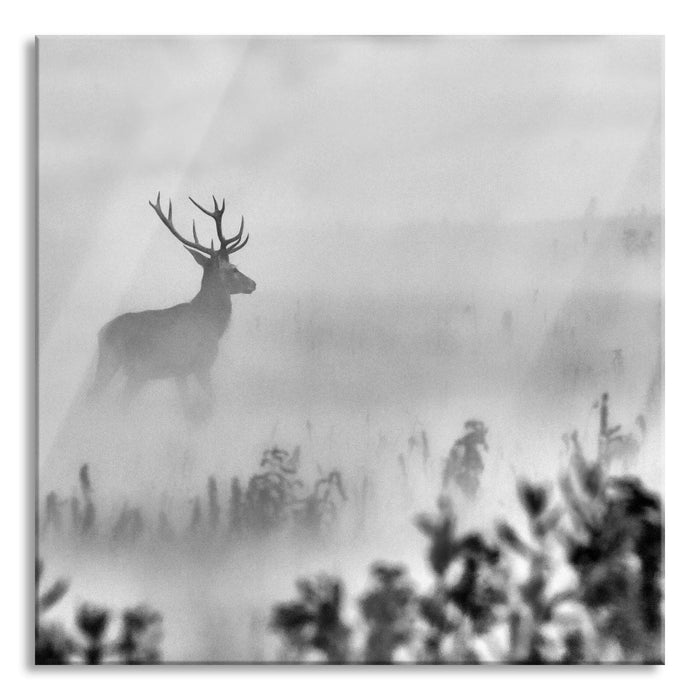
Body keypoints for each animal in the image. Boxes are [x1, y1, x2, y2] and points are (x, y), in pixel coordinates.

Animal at [90, 193, 256, 413]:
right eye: (234, 269)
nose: (253, 283)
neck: (211, 323)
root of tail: (101, 333)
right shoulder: (199, 364)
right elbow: (211, 400)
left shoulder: (181, 371)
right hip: (120, 363)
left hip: (128, 371)